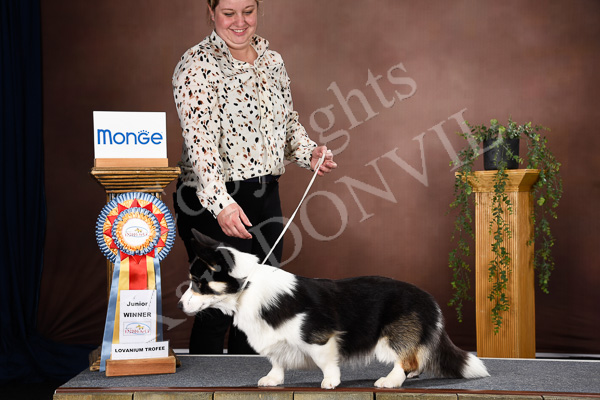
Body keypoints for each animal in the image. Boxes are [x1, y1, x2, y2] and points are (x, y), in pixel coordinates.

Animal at [178, 229, 489, 389]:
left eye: (197, 282)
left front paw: (330, 382)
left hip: (390, 338)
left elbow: (326, 361)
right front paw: (272, 380)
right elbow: (277, 361)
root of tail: (430, 300)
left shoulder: (319, 337)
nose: (180, 304)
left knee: (407, 361)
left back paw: (389, 381)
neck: (247, 286)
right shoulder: (275, 341)